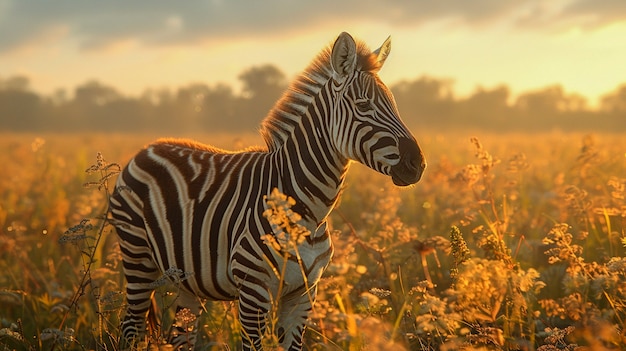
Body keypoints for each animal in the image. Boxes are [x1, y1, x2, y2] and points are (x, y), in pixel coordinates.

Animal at [111, 31, 424, 350]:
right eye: (363, 106)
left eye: (395, 105)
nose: (418, 164)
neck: (308, 213)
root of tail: (147, 147)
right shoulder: (253, 293)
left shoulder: (303, 295)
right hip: (137, 259)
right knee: (131, 327)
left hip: (186, 280)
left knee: (180, 334)